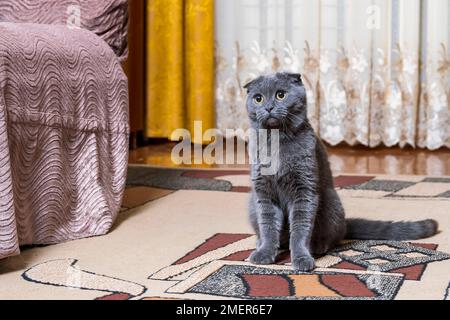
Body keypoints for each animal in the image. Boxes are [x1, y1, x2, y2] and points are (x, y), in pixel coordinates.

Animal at [244, 72, 438, 272]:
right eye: (258, 98)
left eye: (280, 95)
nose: (268, 107)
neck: (277, 143)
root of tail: (346, 223)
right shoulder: (263, 193)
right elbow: (268, 226)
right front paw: (264, 253)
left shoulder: (305, 190)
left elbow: (300, 229)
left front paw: (301, 259)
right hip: (252, 203)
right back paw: (260, 243)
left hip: (330, 201)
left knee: (333, 237)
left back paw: (318, 246)